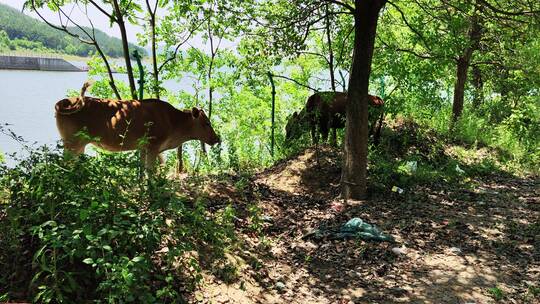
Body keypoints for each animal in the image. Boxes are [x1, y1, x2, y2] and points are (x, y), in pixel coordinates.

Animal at [54, 82, 219, 172]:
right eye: (207, 123)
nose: (217, 139)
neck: (173, 122)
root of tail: (65, 101)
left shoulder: (144, 147)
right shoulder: (153, 145)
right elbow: (150, 172)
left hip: (78, 145)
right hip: (72, 143)